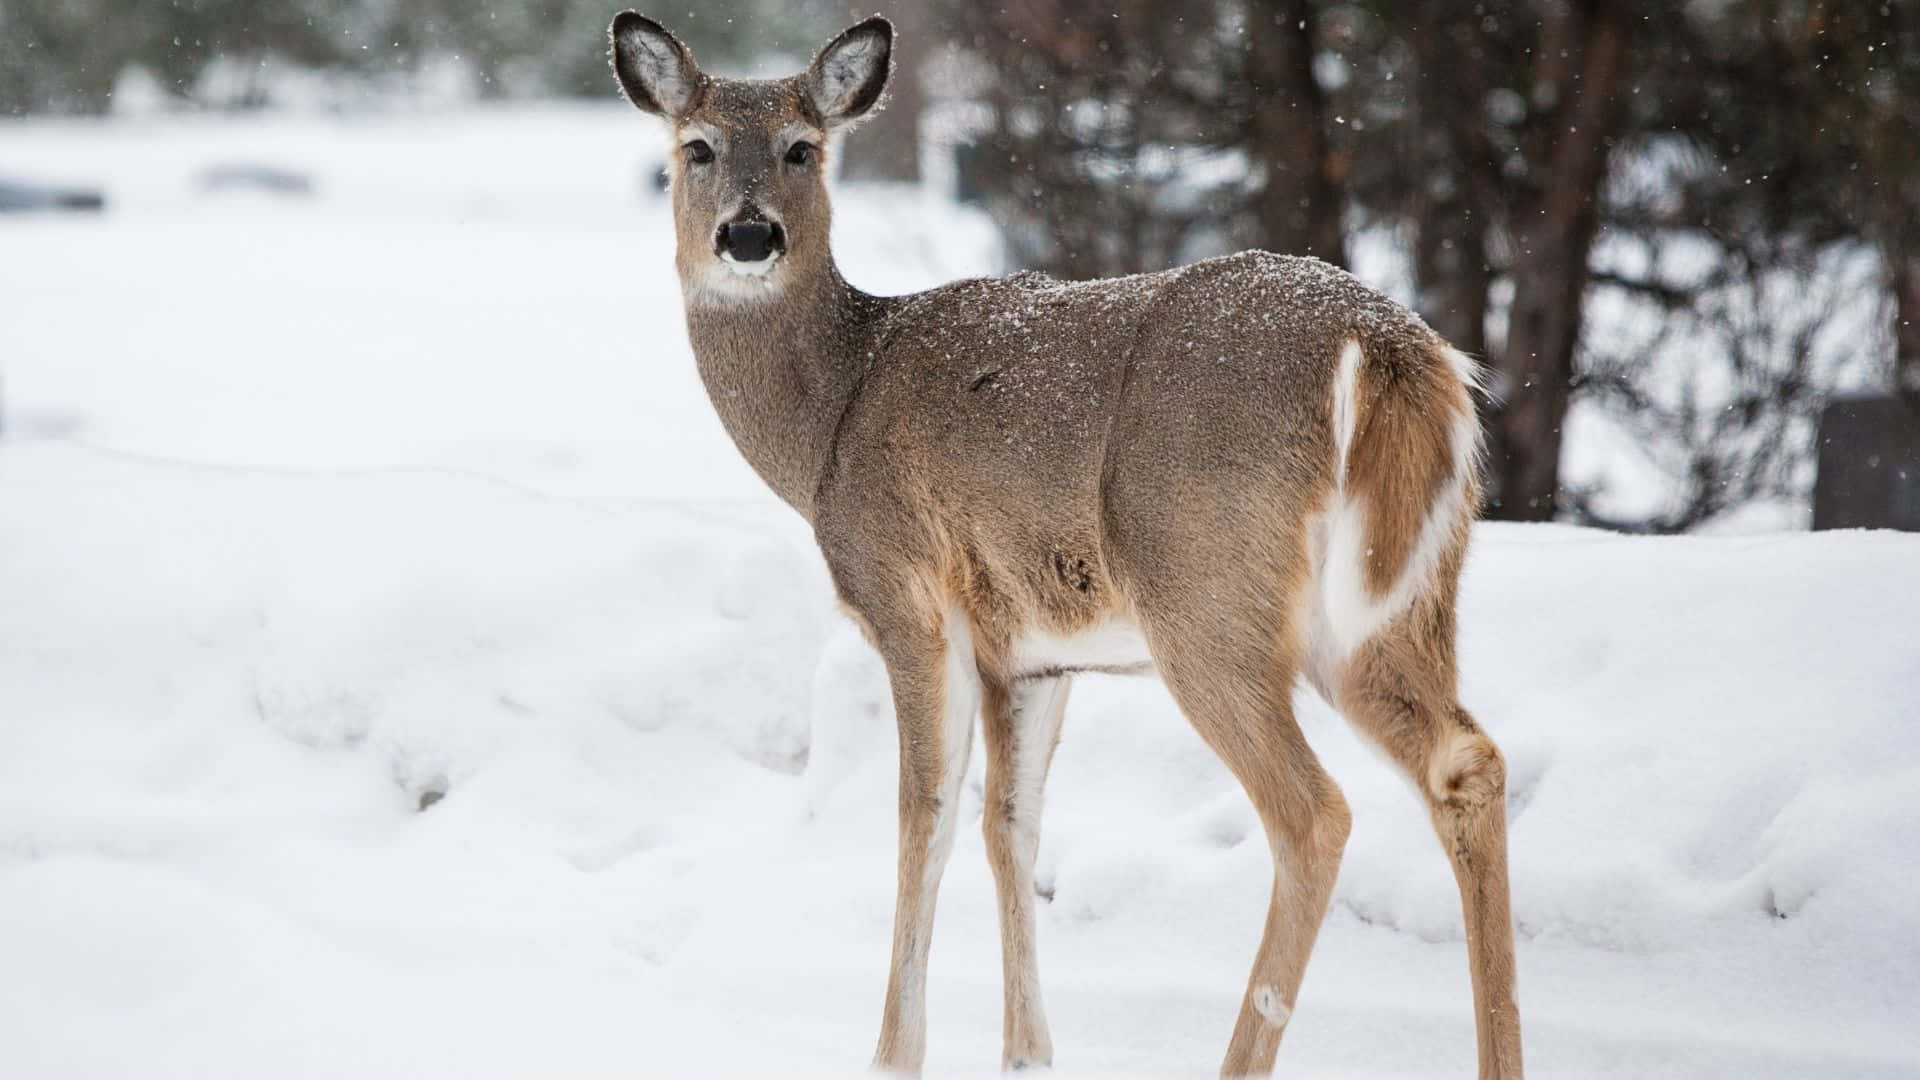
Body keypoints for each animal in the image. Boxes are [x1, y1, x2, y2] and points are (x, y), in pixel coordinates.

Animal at [608, 12, 1522, 1079]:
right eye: (697, 148)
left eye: (803, 147)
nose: (749, 235)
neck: (831, 415)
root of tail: (1391, 352)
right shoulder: (1033, 655)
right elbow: (1011, 826)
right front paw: (1028, 1053)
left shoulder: (907, 594)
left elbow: (924, 817)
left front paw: (894, 1053)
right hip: (1399, 598)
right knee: (1466, 761)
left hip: (1206, 587)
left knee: (1313, 811)